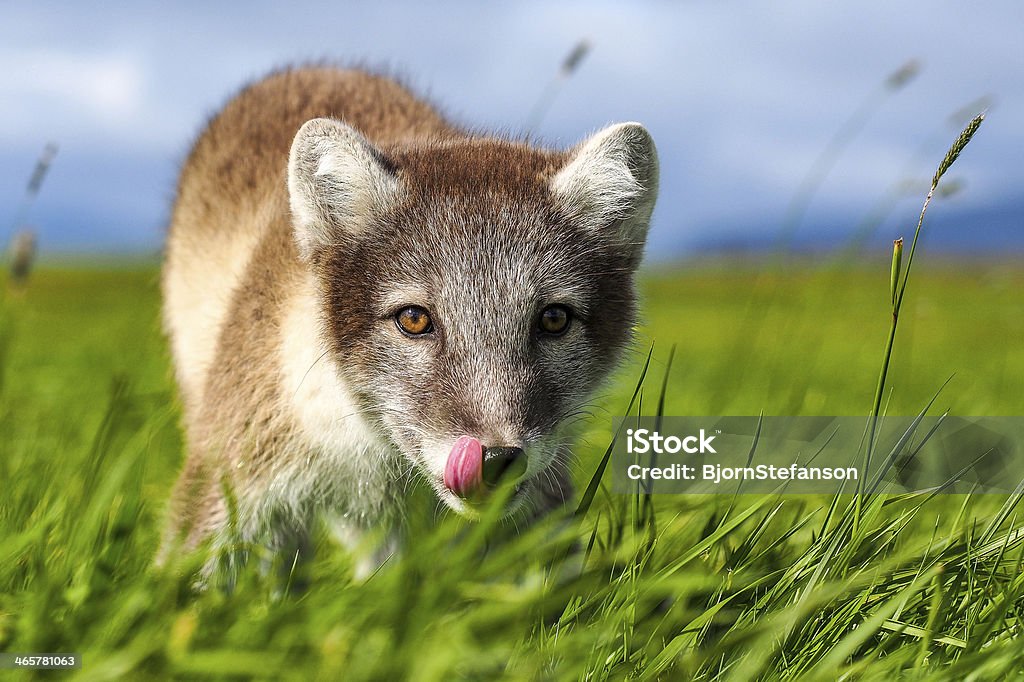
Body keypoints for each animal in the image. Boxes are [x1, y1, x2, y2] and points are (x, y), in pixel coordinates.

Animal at [159, 65, 655, 573]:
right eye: (414, 319)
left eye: (554, 319)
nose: (497, 456)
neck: (382, 462)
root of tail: (317, 67)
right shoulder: (233, 470)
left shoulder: (544, 497)